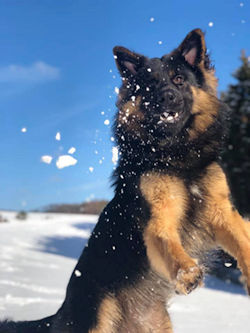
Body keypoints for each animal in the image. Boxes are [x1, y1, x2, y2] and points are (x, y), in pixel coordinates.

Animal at [0, 28, 250, 332]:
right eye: (150, 86)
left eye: (179, 79)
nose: (167, 97)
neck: (176, 156)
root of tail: (60, 313)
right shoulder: (158, 217)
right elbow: (169, 243)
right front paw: (188, 273)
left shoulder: (221, 212)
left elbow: (243, 243)